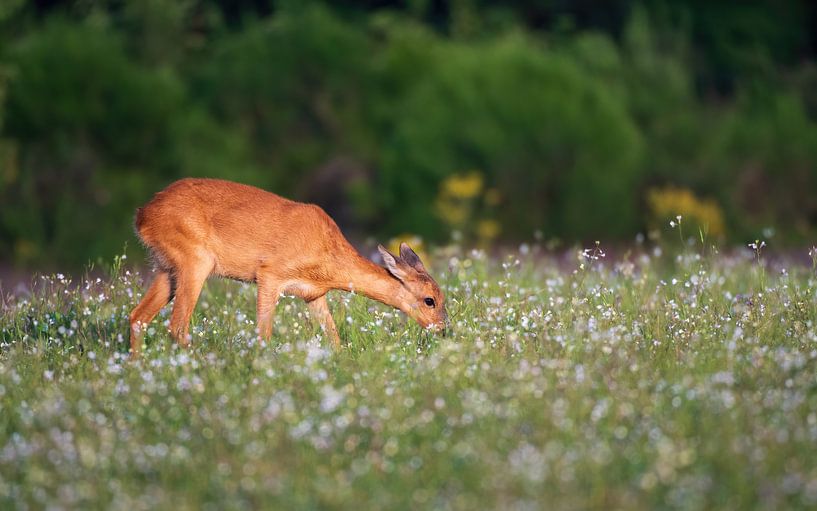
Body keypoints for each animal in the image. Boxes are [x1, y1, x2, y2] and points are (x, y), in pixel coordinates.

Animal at [128, 178, 448, 355]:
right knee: (177, 326)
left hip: (167, 267)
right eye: (429, 300)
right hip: (196, 260)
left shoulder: (314, 294)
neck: (327, 259)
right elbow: (264, 335)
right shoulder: (269, 274)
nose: (443, 330)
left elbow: (334, 338)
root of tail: (142, 215)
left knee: (138, 316)